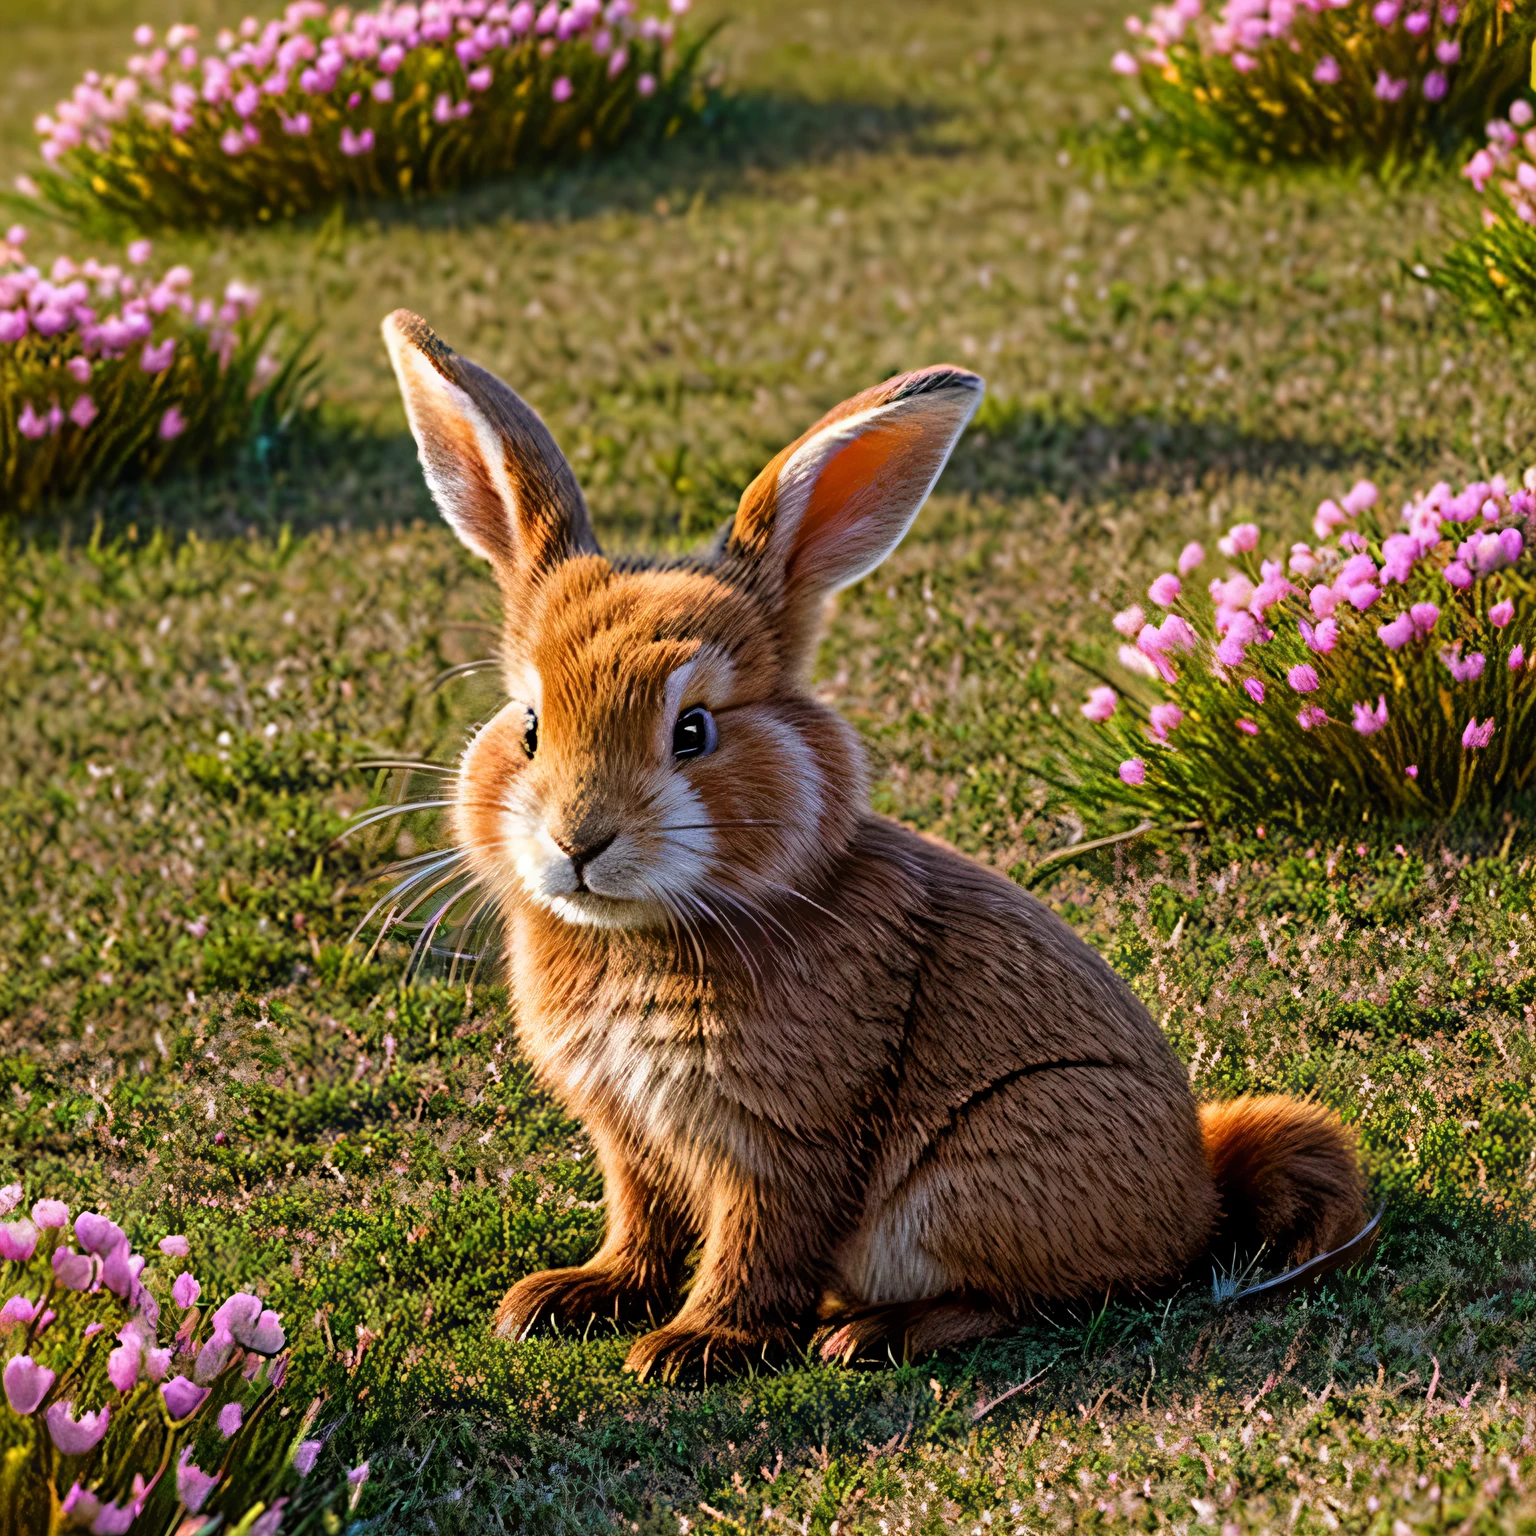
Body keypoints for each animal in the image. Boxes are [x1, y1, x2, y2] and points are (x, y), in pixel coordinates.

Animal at [380, 305, 1370, 1376]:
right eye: (528, 725)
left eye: (694, 731)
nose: (579, 840)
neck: (641, 933)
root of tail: (1199, 1200)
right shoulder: (629, 1136)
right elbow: (640, 1224)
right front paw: (573, 1298)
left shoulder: (785, 1136)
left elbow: (757, 1243)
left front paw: (695, 1347)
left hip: (977, 1177)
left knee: (1029, 1301)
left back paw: (867, 1334)